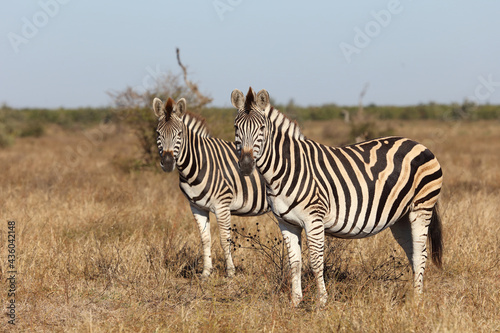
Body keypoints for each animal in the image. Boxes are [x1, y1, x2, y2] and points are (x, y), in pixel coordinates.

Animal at [152, 96, 270, 278]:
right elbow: (205, 239)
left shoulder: (222, 206)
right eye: (158, 134)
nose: (168, 163)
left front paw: (230, 273)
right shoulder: (197, 207)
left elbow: (224, 239)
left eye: (179, 134)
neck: (198, 165)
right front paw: (206, 272)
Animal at [229, 87, 442, 306]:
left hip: (422, 207)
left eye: (262, 128)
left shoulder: (314, 219)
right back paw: (413, 295)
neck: (285, 169)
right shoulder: (286, 223)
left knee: (421, 254)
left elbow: (316, 262)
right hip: (400, 218)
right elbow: (294, 262)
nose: (246, 166)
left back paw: (417, 301)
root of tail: (420, 145)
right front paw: (295, 302)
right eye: (236, 127)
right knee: (412, 252)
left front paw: (322, 302)